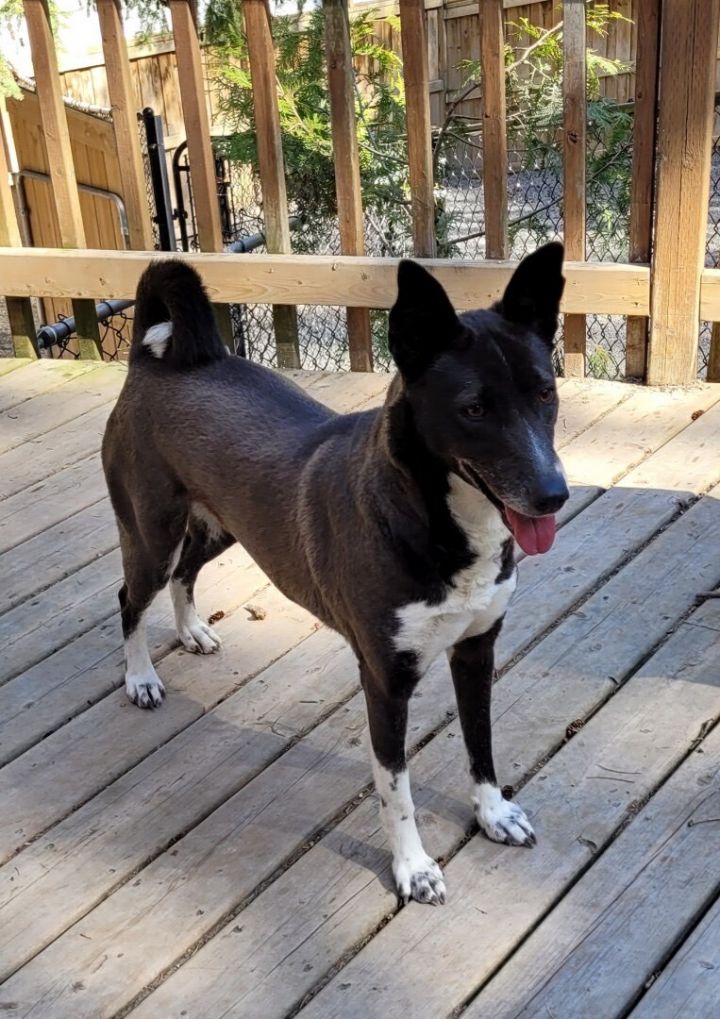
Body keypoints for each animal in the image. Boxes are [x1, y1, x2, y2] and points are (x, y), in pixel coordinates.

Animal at [101, 240, 570, 908]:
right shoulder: (385, 680)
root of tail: (150, 361)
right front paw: (412, 868)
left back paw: (192, 631)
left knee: (183, 574)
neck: (435, 521)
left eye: (545, 394)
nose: (554, 495)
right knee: (130, 597)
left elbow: (481, 745)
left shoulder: (477, 651)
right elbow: (396, 791)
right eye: (474, 409)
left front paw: (493, 814)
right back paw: (140, 678)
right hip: (151, 533)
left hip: (223, 527)